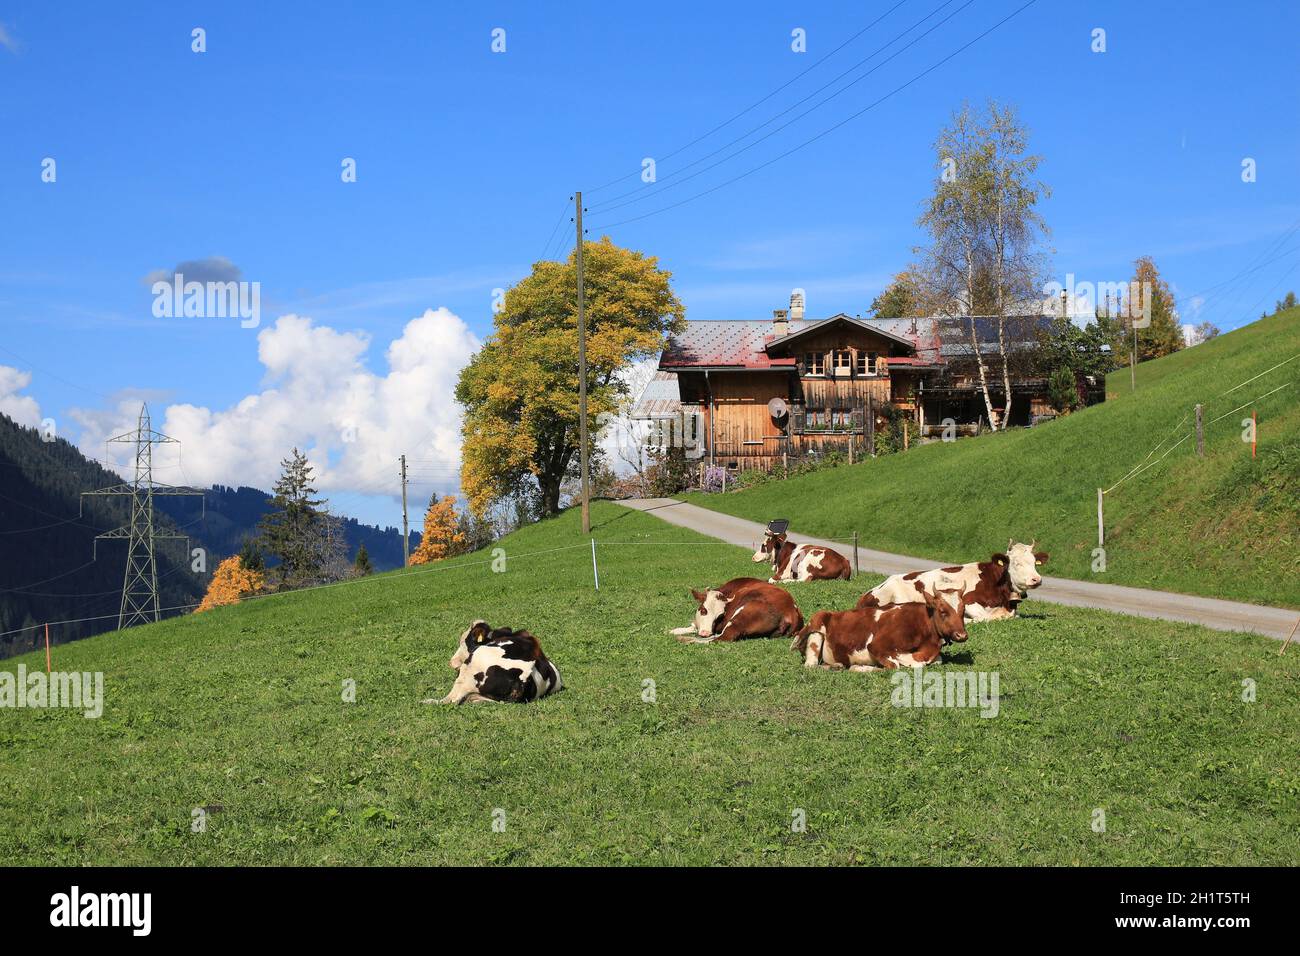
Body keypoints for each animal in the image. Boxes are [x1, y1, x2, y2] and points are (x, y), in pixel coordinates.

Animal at [670, 580, 800, 647]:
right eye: (703, 610)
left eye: (720, 616)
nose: (705, 633)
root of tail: (791, 610)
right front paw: (673, 631)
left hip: (741, 616)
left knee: (721, 638)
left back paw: (686, 639)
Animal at [790, 574, 967, 671]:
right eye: (943, 611)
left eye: (963, 610)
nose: (962, 635)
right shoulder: (876, 646)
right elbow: (897, 664)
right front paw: (860, 668)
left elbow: (937, 660)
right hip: (816, 627)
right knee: (811, 665)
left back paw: (837, 666)